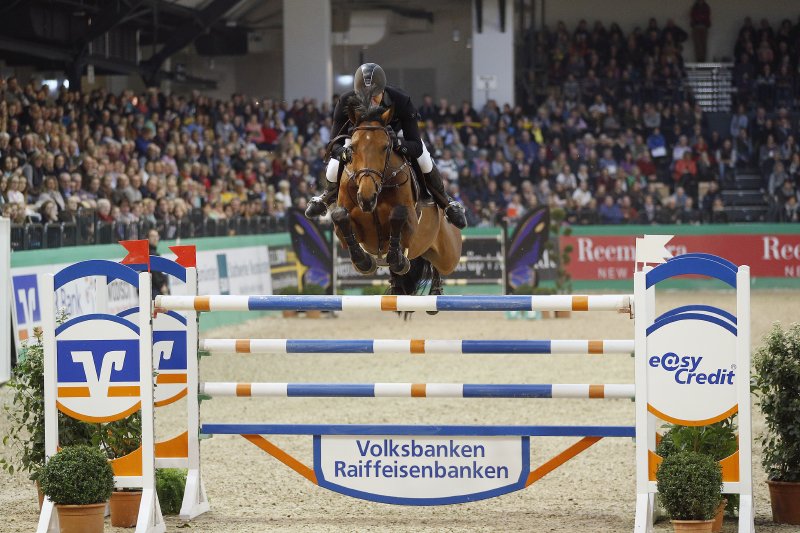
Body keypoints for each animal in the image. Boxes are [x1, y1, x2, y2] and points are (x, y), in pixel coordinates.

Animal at [326, 100, 462, 300]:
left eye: (385, 147)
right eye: (353, 148)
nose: (366, 197)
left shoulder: (411, 221)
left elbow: (398, 215)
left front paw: (398, 259)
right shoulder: (345, 227)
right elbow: (340, 216)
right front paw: (364, 262)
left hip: (448, 254)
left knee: (439, 266)